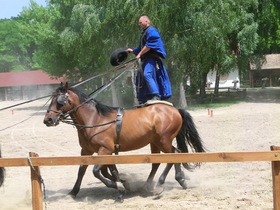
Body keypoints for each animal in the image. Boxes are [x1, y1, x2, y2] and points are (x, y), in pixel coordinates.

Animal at [43, 81, 206, 200]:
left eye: (60, 101)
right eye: (51, 100)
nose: (48, 120)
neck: (94, 119)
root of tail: (175, 110)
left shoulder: (105, 150)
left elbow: (96, 171)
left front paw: (119, 186)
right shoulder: (87, 151)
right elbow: (84, 170)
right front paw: (74, 191)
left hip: (163, 140)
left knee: (172, 156)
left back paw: (162, 184)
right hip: (155, 142)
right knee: (162, 159)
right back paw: (163, 182)